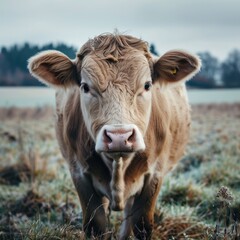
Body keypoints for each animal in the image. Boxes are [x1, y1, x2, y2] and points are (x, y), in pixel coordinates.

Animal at [28, 32, 201, 239]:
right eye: (85, 87)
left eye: (147, 85)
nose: (119, 136)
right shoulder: (79, 174)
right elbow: (96, 225)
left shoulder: (155, 174)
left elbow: (142, 224)